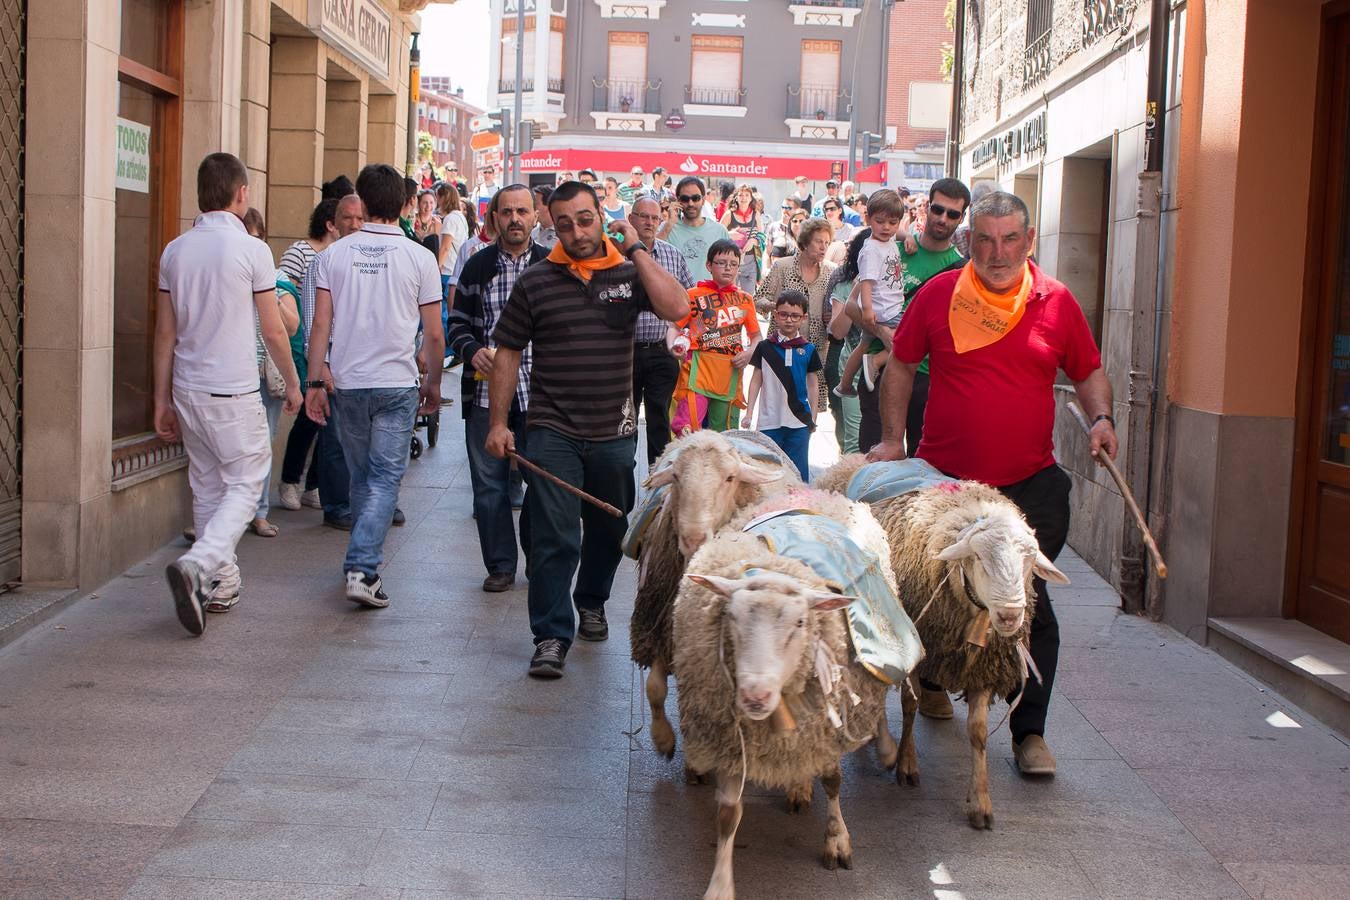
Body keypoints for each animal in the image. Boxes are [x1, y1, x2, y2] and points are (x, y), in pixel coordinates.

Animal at [623, 429, 799, 766]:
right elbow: (654, 689)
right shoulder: (660, 625)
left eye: (729, 478)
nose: (693, 538)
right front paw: (663, 739)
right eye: (676, 477)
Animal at [675, 488, 907, 895]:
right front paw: (720, 885)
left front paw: (837, 841)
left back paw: (883, 751)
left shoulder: (827, 730)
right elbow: (728, 813)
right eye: (731, 616)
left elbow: (833, 781)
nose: (755, 696)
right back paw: (798, 786)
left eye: (800, 622)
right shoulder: (733, 740)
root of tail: (813, 491)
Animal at [815, 458, 1069, 831]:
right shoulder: (917, 648)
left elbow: (978, 732)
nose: (1010, 615)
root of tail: (857, 461)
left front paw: (980, 801)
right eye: (980, 559)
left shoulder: (984, 668)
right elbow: (909, 705)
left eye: (1028, 562)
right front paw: (906, 763)